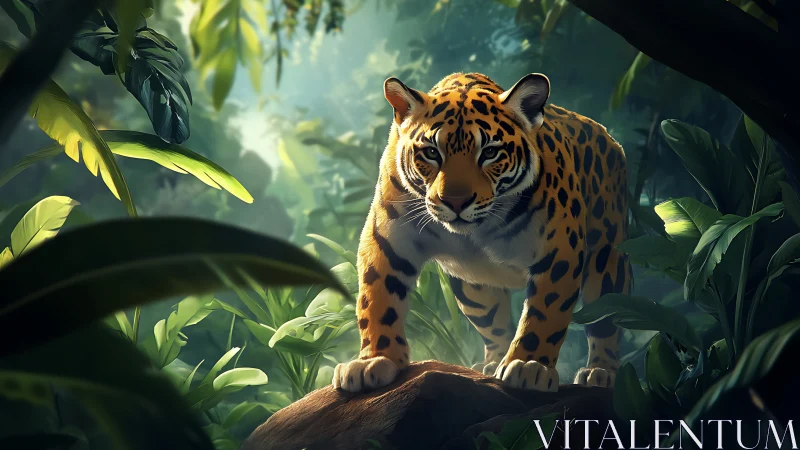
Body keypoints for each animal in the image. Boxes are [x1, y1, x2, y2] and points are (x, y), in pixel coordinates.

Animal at [332, 72, 631, 392]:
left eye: (489, 153)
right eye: (431, 152)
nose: (455, 201)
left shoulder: (559, 249)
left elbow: (544, 313)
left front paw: (529, 366)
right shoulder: (387, 243)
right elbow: (377, 301)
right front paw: (374, 361)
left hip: (607, 266)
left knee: (606, 321)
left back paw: (601, 373)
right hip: (473, 290)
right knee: (493, 323)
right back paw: (490, 365)